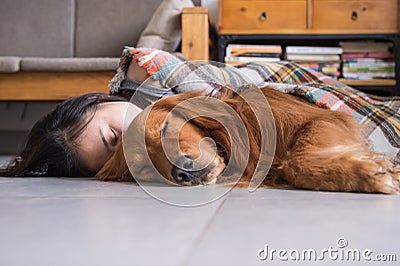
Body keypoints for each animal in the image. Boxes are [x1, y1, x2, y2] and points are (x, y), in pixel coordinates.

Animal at [97, 87, 400, 193]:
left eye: (164, 129)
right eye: (144, 168)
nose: (181, 172)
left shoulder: (323, 119)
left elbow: (296, 161)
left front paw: (374, 172)